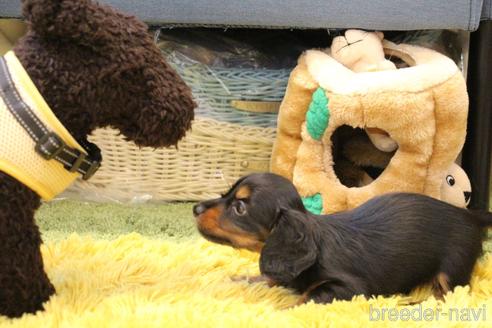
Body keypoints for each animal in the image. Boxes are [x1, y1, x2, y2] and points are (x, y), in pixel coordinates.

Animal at [194, 173, 492, 304]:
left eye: (239, 207)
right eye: (225, 194)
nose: (195, 209)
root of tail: (470, 215)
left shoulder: (348, 288)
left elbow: (307, 296)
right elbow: (268, 278)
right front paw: (237, 279)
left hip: (452, 268)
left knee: (448, 294)